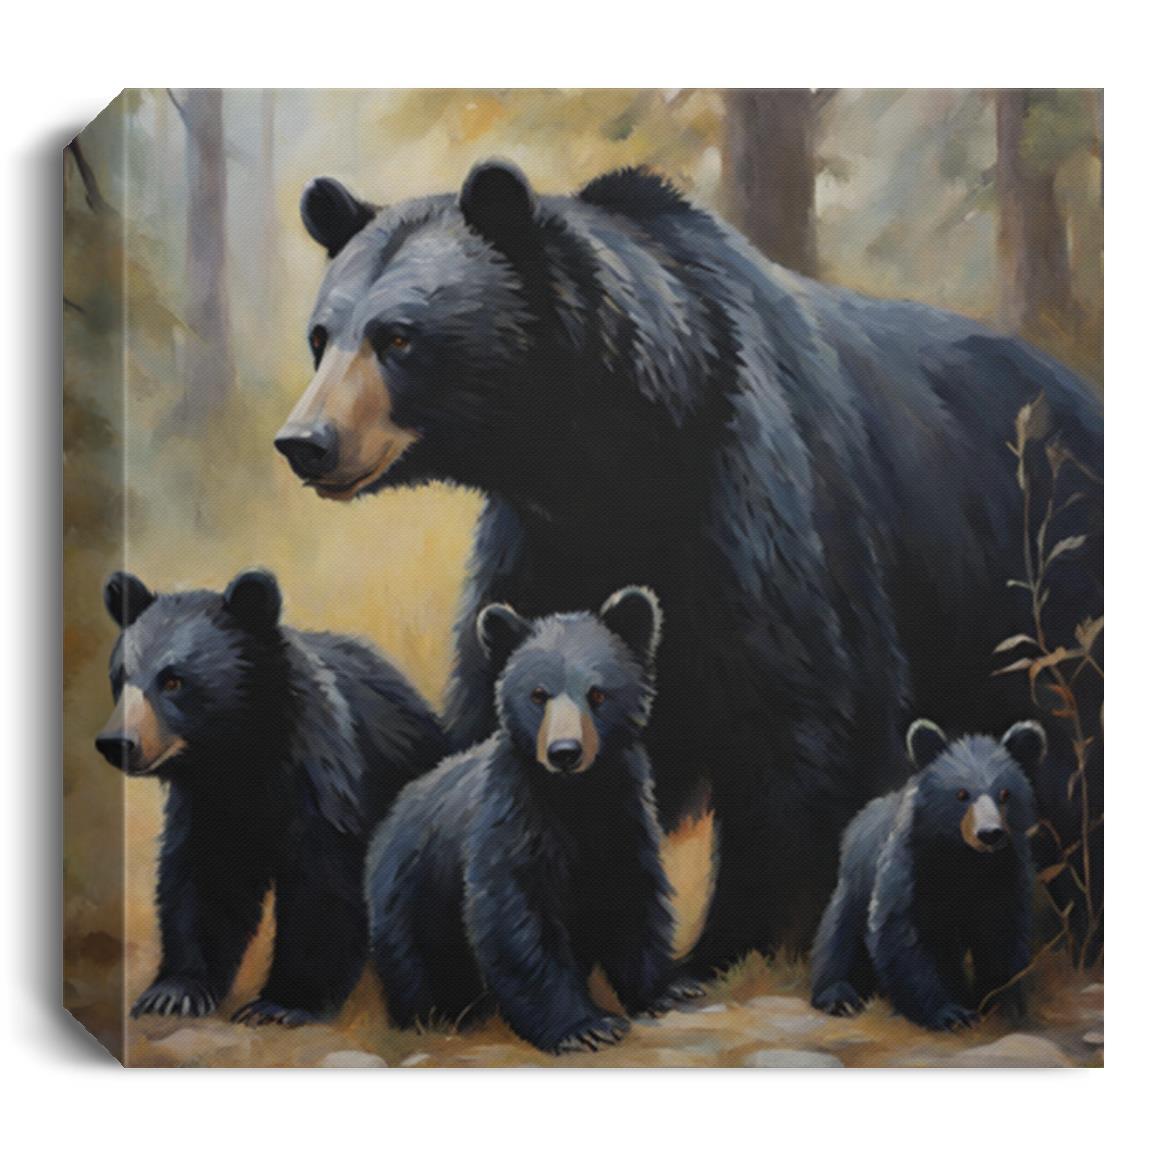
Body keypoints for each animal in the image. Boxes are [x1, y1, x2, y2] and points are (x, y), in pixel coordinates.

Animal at [94, 567, 448, 1025]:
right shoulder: (207, 804)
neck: (239, 754)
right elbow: (203, 880)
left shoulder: (324, 786)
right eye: (120, 677)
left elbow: (325, 886)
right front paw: (175, 991)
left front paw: (280, 1004)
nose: (117, 743)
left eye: (173, 680)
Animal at [276, 159, 1103, 978]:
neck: (614, 450)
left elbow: (800, 720)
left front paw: (730, 943)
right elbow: (505, 683)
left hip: (1043, 576)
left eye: (397, 336)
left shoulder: (759, 507)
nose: (306, 441)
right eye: (321, 336)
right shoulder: (544, 542)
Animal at [366, 587, 694, 1054]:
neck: (575, 797)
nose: (565, 752)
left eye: (598, 693)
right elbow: (516, 918)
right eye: (539, 694)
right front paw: (585, 1026)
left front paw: (667, 989)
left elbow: (633, 897)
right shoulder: (514, 821)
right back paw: (439, 1015)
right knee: (418, 966)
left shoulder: (622, 818)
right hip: (413, 894)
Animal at [810, 718, 1046, 1030]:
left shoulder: (1004, 872)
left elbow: (1002, 934)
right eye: (961, 794)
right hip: (856, 879)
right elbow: (900, 932)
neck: (964, 858)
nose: (989, 834)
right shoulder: (912, 870)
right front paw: (949, 1012)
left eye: (1005, 794)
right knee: (840, 933)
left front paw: (1001, 1003)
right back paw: (838, 994)